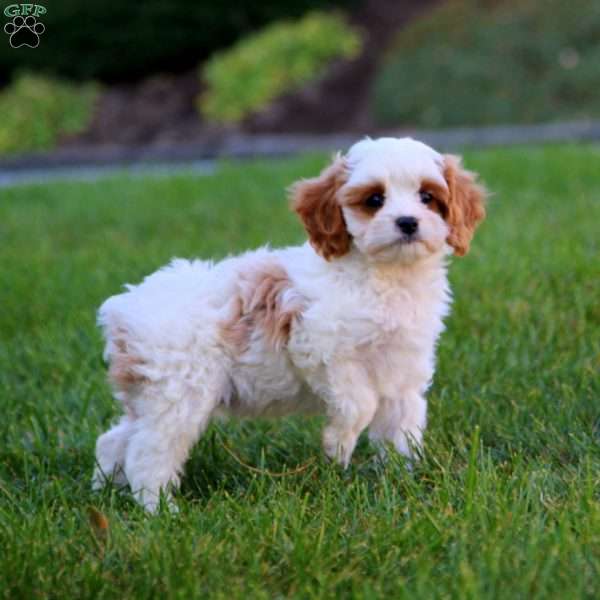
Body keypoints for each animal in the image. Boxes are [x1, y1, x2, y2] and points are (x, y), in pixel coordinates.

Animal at [94, 137, 488, 510]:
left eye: (427, 197)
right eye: (375, 199)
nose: (407, 222)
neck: (388, 276)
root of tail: (123, 309)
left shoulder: (403, 371)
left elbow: (402, 427)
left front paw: (403, 481)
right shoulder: (322, 348)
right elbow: (359, 403)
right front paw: (338, 446)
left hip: (151, 394)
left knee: (115, 440)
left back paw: (105, 490)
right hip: (179, 396)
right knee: (149, 453)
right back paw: (158, 509)